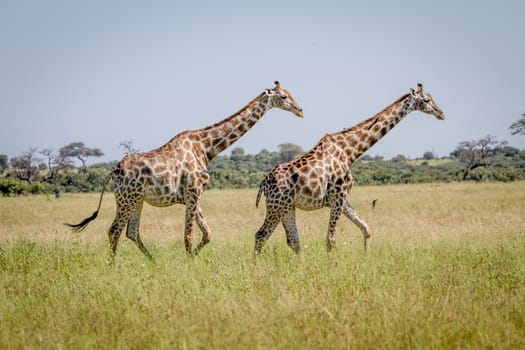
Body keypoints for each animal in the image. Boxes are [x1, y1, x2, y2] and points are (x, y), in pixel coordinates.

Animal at [66, 81, 302, 260]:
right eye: (283, 97)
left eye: (291, 94)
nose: (300, 110)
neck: (206, 147)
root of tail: (114, 170)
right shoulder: (193, 191)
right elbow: (189, 236)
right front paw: (190, 263)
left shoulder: (193, 195)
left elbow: (207, 234)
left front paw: (193, 259)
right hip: (126, 199)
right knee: (114, 230)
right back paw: (112, 265)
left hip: (136, 200)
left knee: (131, 232)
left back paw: (153, 261)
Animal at [254, 84, 442, 254]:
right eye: (426, 100)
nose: (441, 113)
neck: (350, 151)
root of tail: (264, 183)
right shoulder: (338, 197)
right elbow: (331, 239)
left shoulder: (343, 198)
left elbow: (366, 229)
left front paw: (366, 256)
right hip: (277, 207)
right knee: (261, 235)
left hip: (287, 207)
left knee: (293, 241)